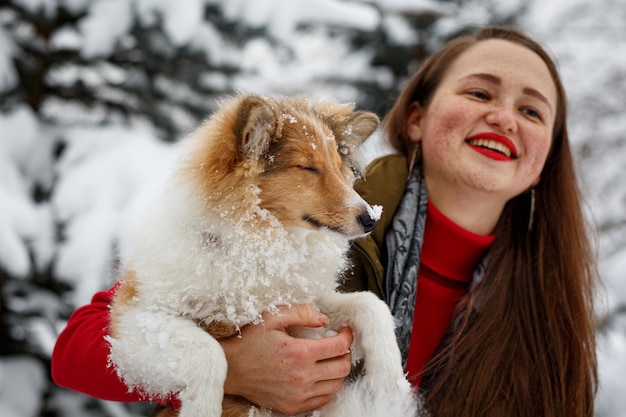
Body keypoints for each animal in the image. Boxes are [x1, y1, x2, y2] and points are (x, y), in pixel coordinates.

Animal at [108, 94, 414, 416]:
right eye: (307, 167)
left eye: (336, 165)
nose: (371, 219)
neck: (254, 251)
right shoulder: (135, 320)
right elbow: (209, 352)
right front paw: (202, 409)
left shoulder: (304, 305)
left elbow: (371, 305)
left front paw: (391, 383)